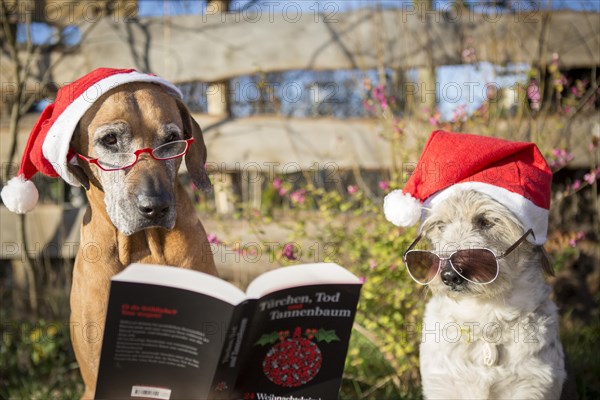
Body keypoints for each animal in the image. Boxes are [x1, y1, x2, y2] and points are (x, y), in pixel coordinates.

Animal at [410, 189, 564, 398]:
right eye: (440, 225)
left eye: (485, 221)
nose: (449, 275)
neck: (482, 319)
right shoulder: (440, 385)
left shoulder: (533, 386)